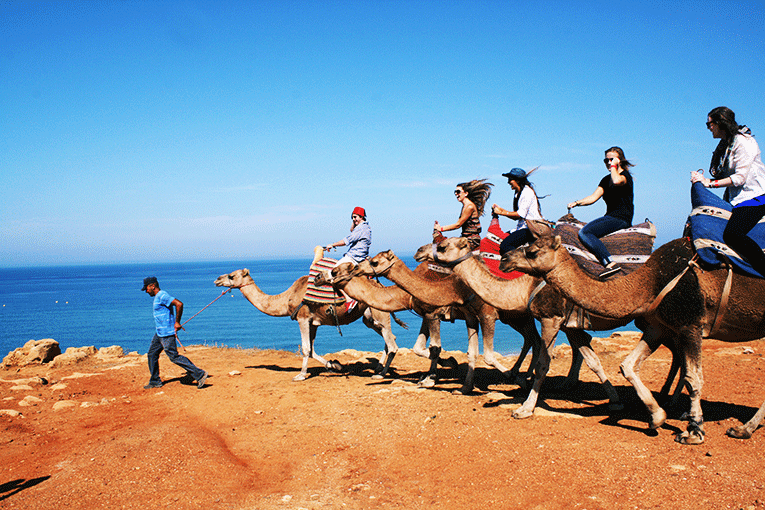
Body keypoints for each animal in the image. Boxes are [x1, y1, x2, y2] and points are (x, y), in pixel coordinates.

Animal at [214, 262, 405, 382]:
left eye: (231, 276)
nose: (217, 279)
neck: (287, 298)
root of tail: (383, 288)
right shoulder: (314, 323)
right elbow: (312, 350)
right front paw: (335, 365)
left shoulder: (303, 318)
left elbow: (306, 349)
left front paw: (300, 375)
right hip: (368, 317)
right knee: (390, 337)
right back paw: (378, 368)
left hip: (379, 312)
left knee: (392, 343)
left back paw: (381, 374)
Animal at [351, 251, 552, 400]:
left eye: (374, 262)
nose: (355, 268)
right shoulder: (430, 315)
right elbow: (421, 348)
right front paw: (444, 375)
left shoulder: (437, 313)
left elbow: (434, 347)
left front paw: (432, 377)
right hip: (515, 317)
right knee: (531, 339)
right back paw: (523, 373)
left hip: (516, 316)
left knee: (533, 339)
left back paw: (523, 377)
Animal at [412, 238, 638, 418]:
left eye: (442, 245)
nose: (419, 251)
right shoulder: (567, 324)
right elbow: (593, 360)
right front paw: (615, 401)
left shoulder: (548, 319)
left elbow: (541, 364)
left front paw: (525, 407)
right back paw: (566, 383)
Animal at [501, 234, 765, 444]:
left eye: (533, 251)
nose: (504, 259)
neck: (649, 281)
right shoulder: (657, 326)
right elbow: (627, 365)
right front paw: (657, 416)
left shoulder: (690, 323)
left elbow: (694, 378)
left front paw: (694, 431)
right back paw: (742, 428)